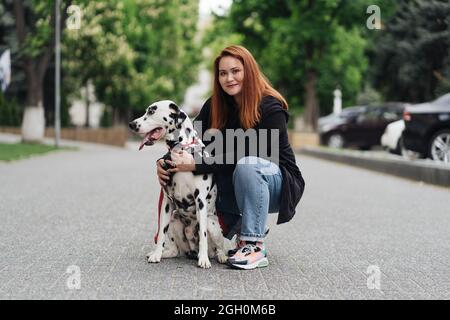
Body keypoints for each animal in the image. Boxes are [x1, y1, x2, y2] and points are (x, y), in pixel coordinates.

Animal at [130, 99, 229, 268]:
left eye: (151, 111)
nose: (132, 124)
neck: (181, 150)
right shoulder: (167, 203)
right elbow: (161, 235)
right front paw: (157, 254)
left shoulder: (200, 201)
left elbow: (203, 235)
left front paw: (204, 260)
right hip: (174, 219)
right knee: (175, 249)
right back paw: (166, 253)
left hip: (212, 224)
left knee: (218, 246)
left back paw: (218, 256)